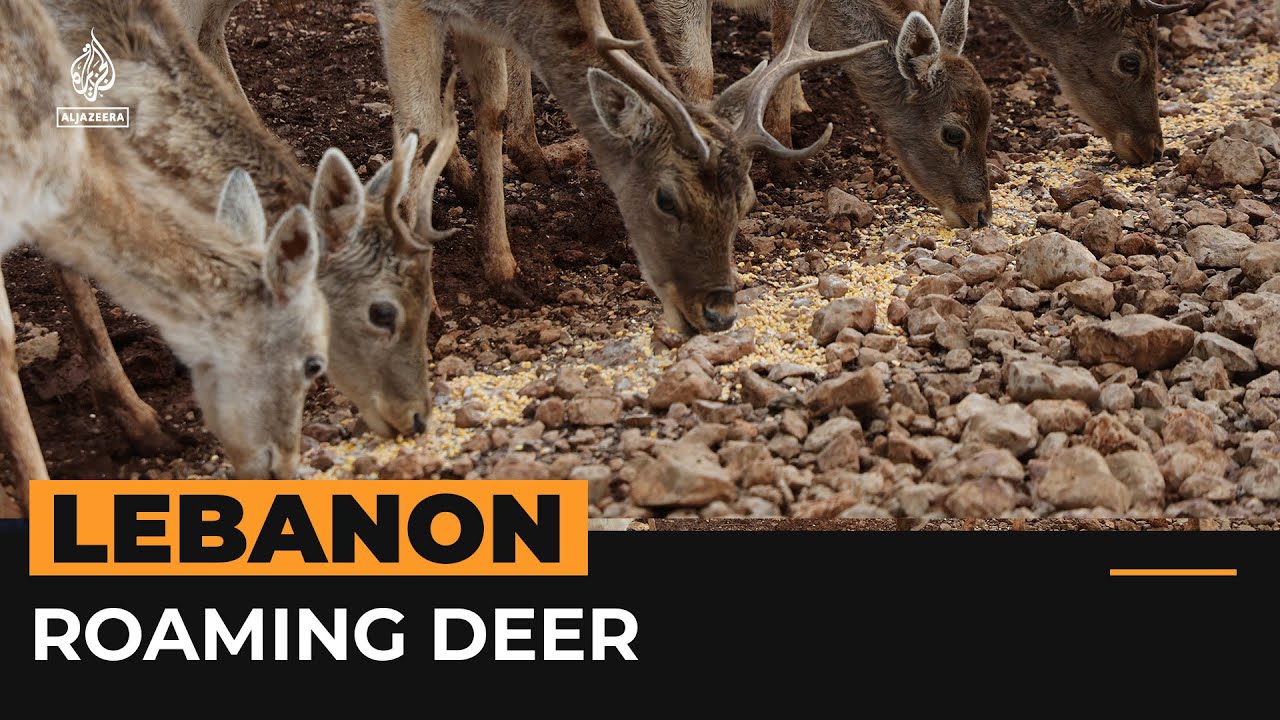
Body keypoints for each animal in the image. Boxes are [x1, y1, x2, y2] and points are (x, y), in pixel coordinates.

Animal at [365, 0, 885, 338]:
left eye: (747, 200)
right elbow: (419, 128)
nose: (719, 310)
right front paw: (421, 303)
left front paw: (504, 269)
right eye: (666, 200)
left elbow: (489, 110)